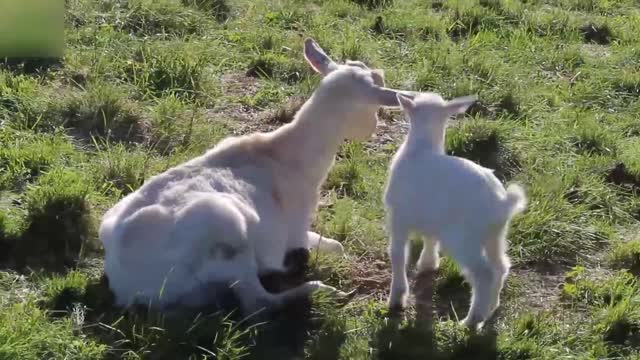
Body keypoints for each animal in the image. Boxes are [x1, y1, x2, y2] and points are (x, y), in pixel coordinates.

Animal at [98, 38, 404, 316]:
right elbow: (334, 247)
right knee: (257, 303)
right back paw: (323, 289)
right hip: (228, 229)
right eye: (373, 107)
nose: (372, 129)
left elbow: (337, 246)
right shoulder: (295, 227)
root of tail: (126, 287)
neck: (289, 154)